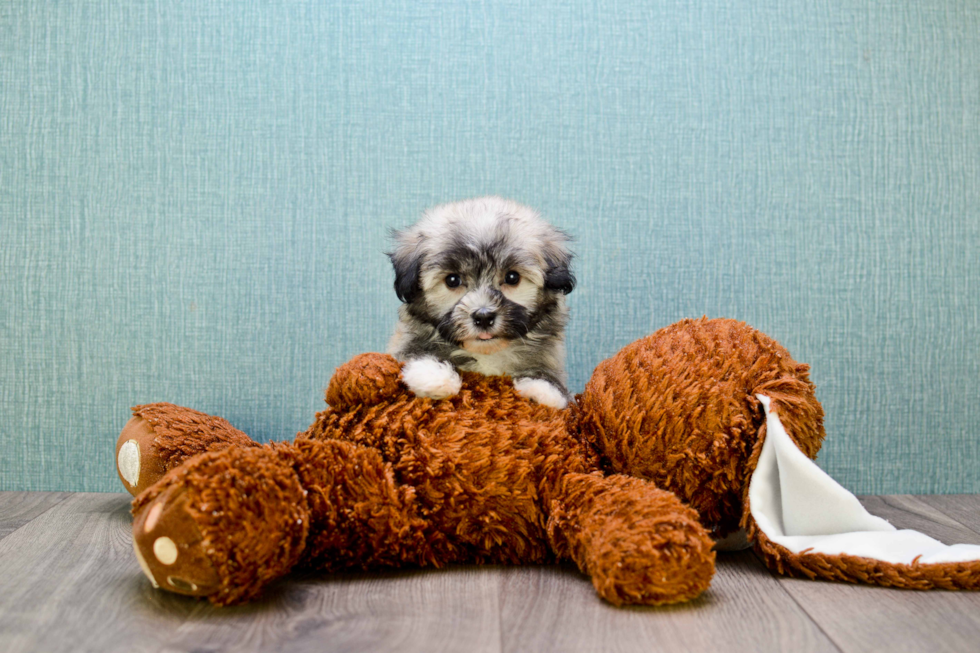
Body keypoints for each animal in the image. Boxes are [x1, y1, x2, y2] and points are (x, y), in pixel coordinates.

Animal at [388, 195, 580, 408]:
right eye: (452, 280)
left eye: (512, 277)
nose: (484, 317)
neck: (487, 353)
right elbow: (412, 352)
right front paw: (434, 375)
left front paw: (542, 389)